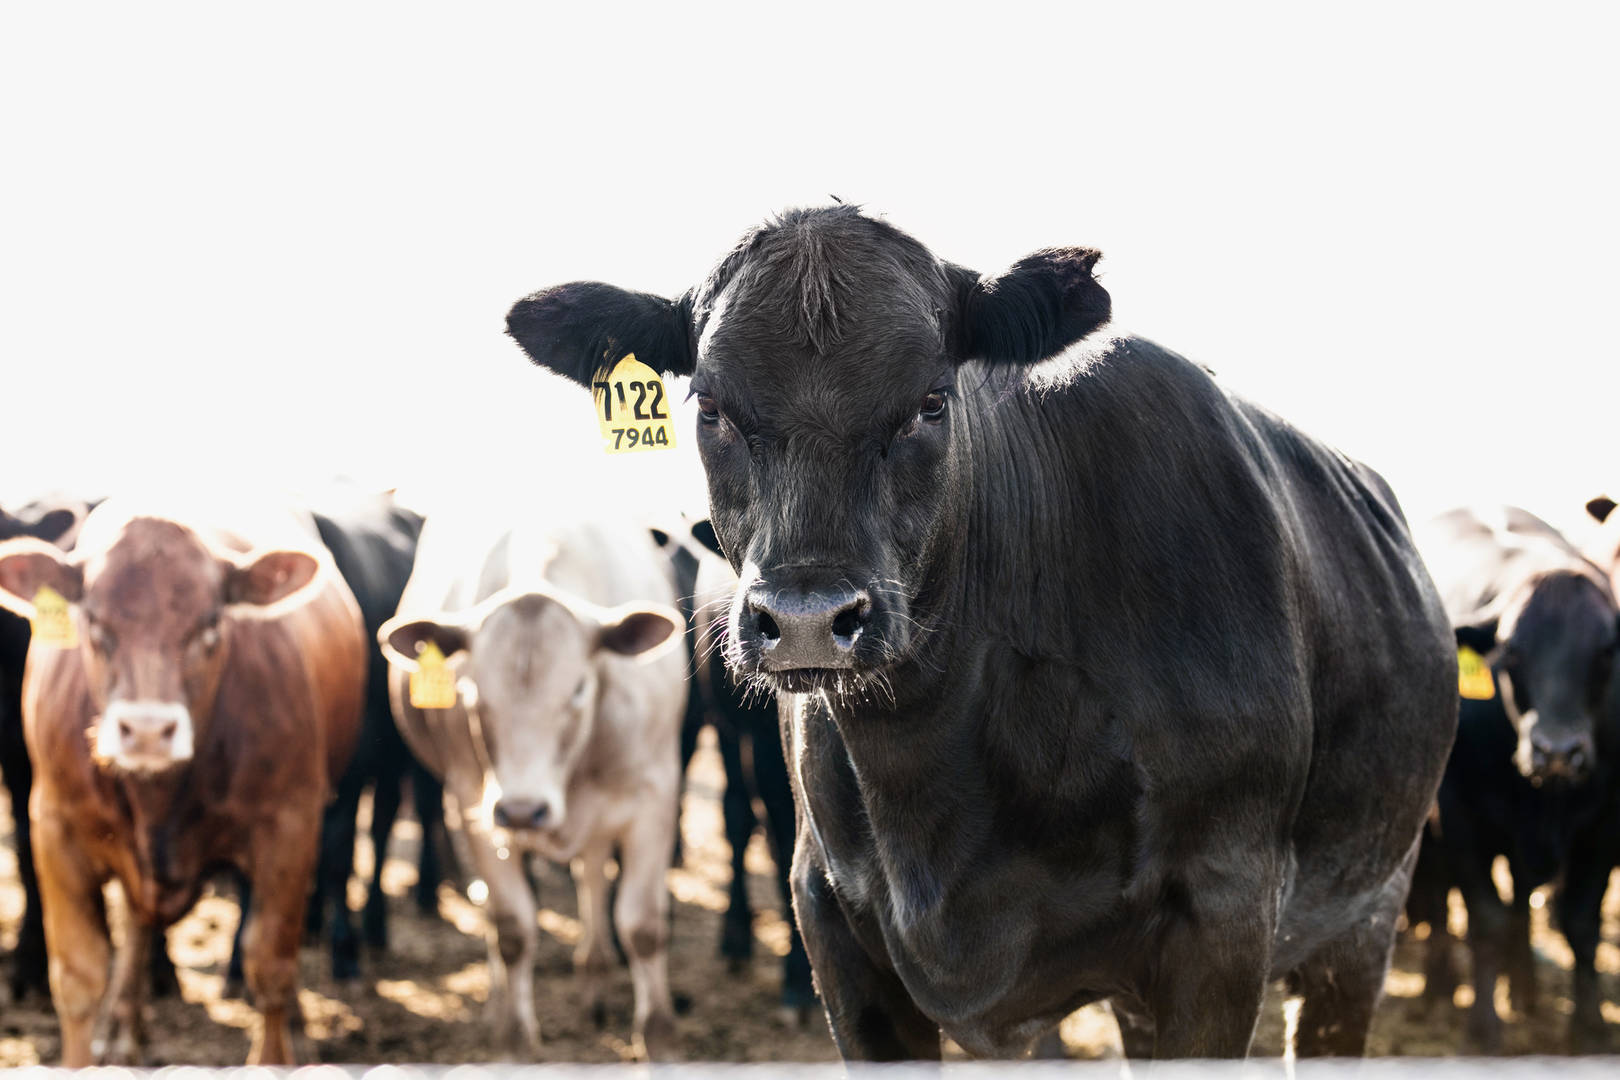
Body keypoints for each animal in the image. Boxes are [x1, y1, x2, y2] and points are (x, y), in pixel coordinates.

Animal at [0, 497, 367, 1064]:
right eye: (93, 619)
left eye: (212, 622)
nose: (148, 730)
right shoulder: (55, 826)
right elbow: (79, 977)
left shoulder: (289, 826)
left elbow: (270, 963)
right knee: (135, 923)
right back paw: (124, 1024)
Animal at [378, 510, 687, 1060]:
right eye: (471, 689)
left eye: (579, 688)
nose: (524, 811)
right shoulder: (475, 806)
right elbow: (512, 928)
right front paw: (513, 1041)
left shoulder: (654, 799)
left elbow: (643, 926)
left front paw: (661, 1039)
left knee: (591, 873)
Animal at [506, 205, 1458, 1060]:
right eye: (709, 407)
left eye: (932, 401)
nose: (809, 621)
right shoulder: (834, 924)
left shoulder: (1221, 922)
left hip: (1363, 922)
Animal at [1408, 505, 1619, 1052]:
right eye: (1511, 652)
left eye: (1606, 652)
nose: (1558, 751)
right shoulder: (1459, 815)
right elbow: (1485, 917)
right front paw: (1484, 1026)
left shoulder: (1604, 823)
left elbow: (1580, 921)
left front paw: (1588, 1026)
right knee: (1440, 902)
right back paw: (1439, 986)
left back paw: (1524, 989)